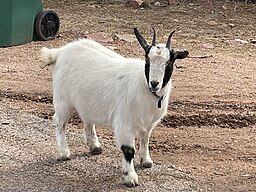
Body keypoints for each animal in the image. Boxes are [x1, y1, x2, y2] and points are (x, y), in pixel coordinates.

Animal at [40, 27, 188, 187]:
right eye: (147, 59)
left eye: (169, 62)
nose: (154, 83)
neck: (143, 85)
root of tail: (60, 52)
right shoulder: (124, 123)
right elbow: (128, 150)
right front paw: (130, 177)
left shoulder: (149, 124)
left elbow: (145, 139)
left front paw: (146, 161)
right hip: (63, 100)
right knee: (59, 122)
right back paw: (64, 152)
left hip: (85, 101)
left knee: (87, 119)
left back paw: (95, 146)